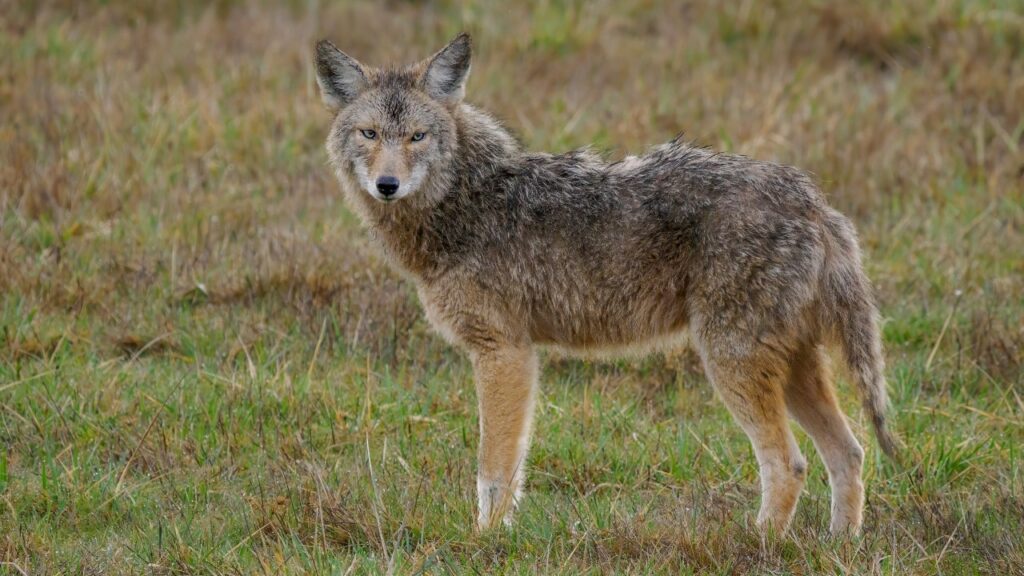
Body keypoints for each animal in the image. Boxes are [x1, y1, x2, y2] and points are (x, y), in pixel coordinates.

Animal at [313, 33, 899, 535]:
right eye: (370, 134)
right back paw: (839, 545)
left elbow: (494, 472)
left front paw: (485, 544)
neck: (465, 201)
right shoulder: (511, 354)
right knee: (849, 452)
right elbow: (506, 468)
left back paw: (761, 547)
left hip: (731, 364)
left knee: (789, 464)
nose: (387, 184)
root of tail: (813, 202)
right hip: (790, 367)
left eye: (417, 136)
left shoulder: (504, 352)